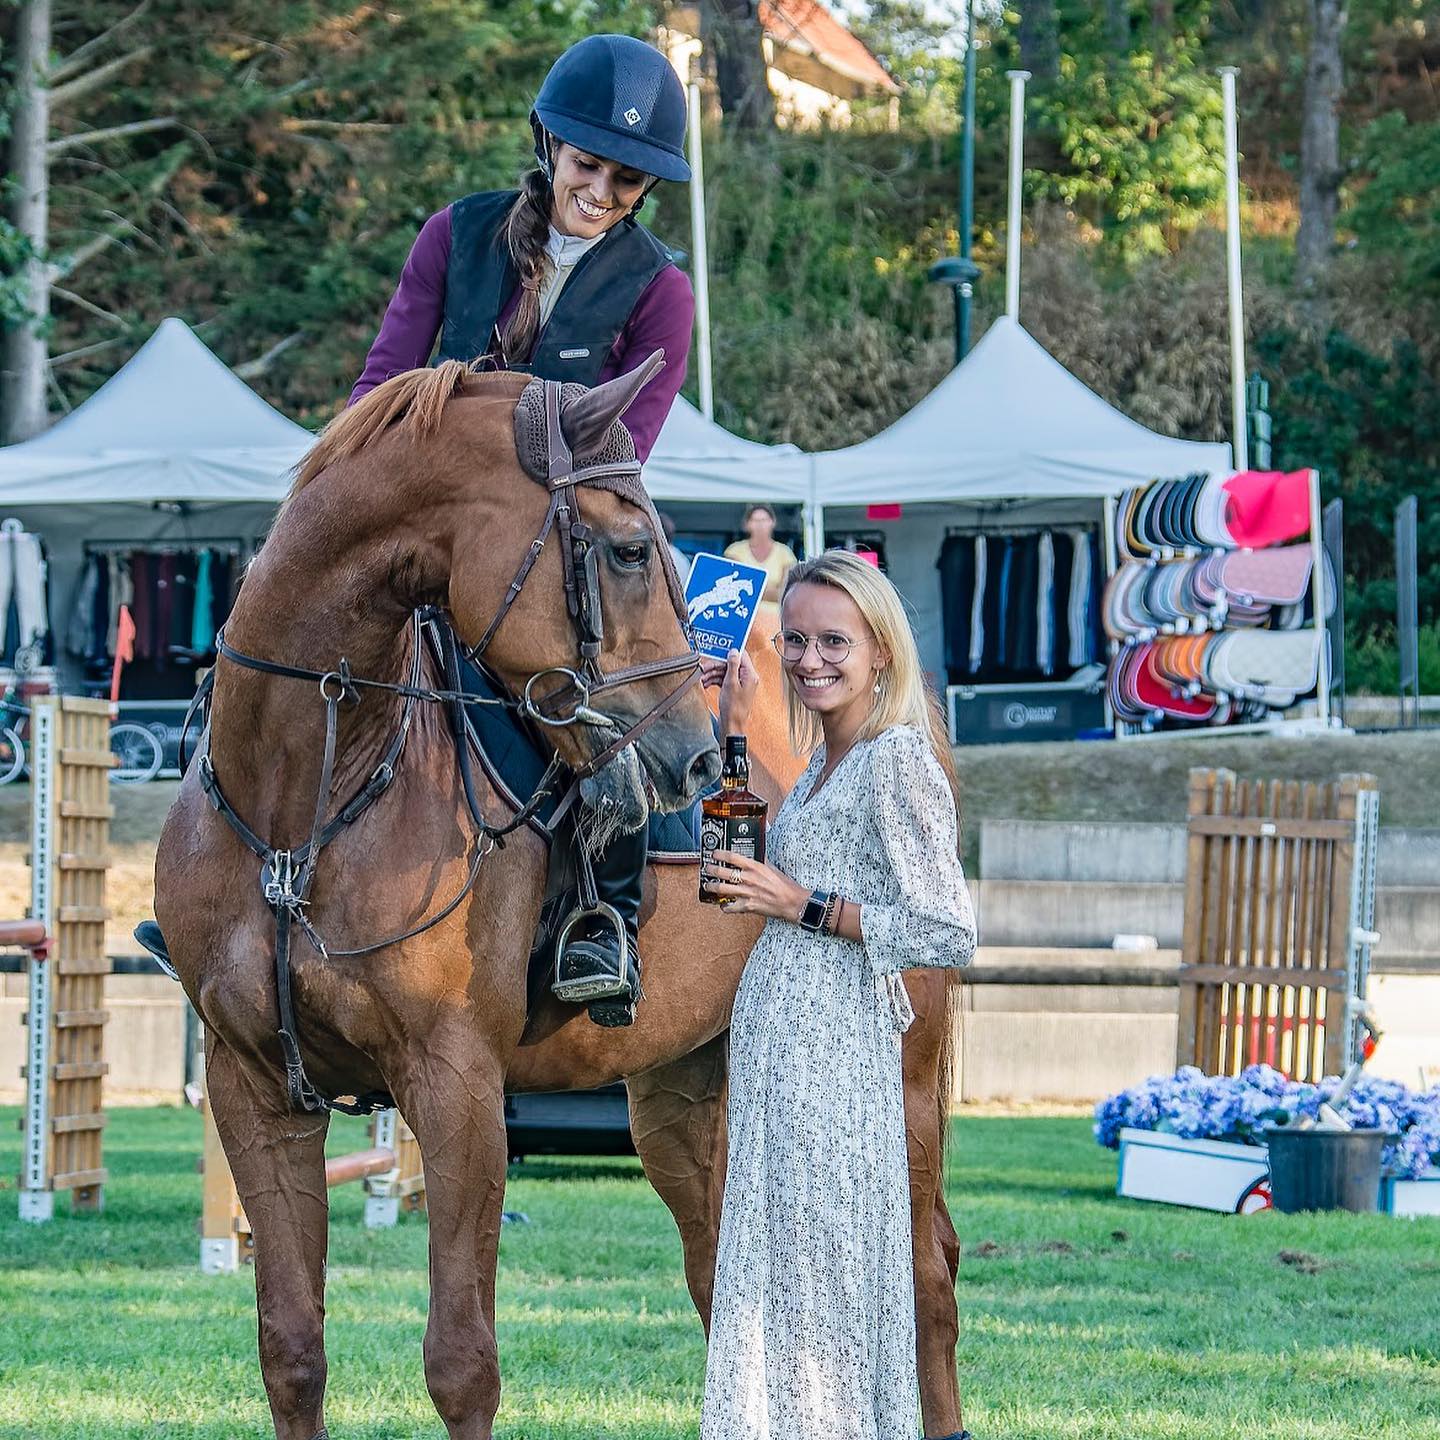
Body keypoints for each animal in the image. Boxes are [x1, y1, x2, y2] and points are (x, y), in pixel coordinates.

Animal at [154, 362, 967, 1440]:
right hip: (684, 1091)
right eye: (626, 549)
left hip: (901, 1091)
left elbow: (461, 1362)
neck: (306, 804)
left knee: (926, 1274)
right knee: (721, 1274)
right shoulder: (257, 1092)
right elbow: (290, 1349)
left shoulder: (456, 1090)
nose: (696, 755)